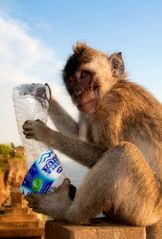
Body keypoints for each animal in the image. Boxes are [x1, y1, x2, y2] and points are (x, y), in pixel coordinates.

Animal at [22, 42, 162, 238]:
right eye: (71, 79)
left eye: (84, 75)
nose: (77, 93)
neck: (111, 87)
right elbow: (78, 134)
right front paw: (48, 96)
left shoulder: (111, 105)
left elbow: (103, 152)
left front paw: (45, 133)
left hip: (149, 206)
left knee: (122, 153)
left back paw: (67, 211)